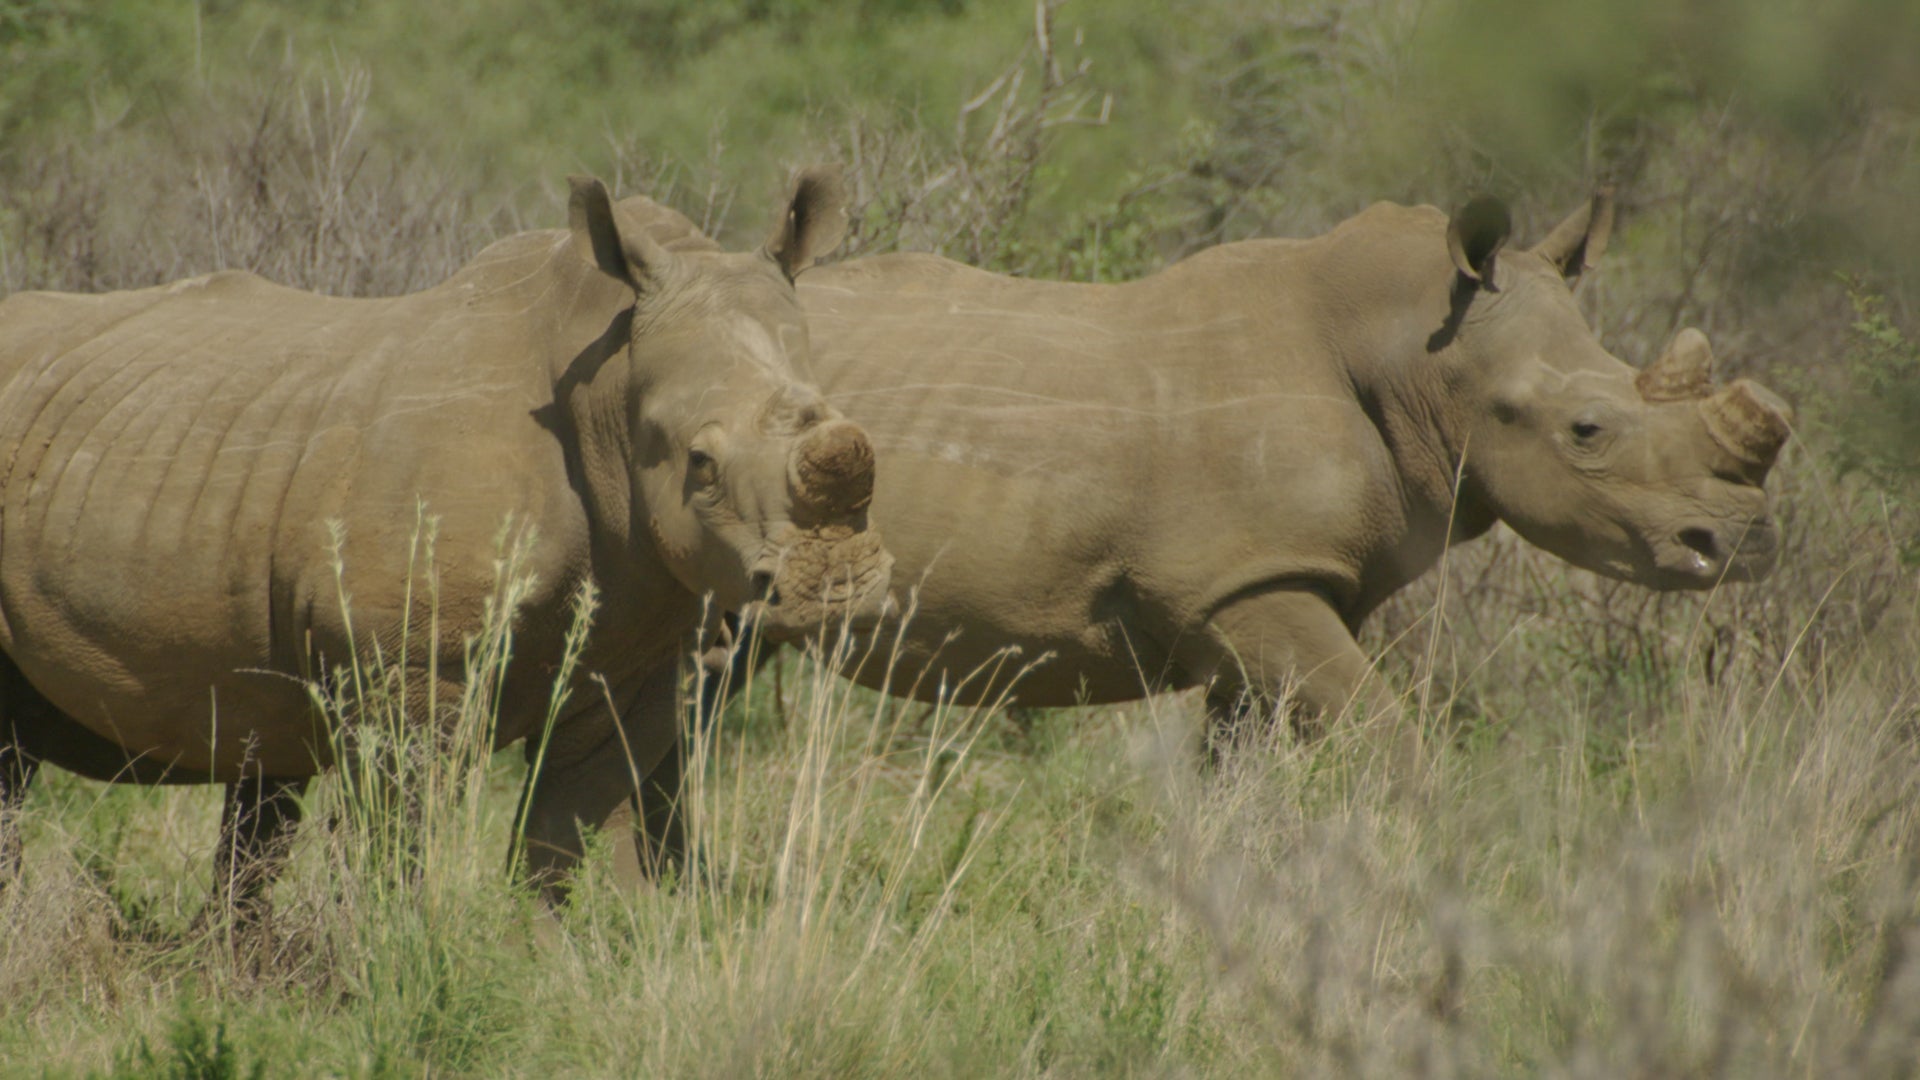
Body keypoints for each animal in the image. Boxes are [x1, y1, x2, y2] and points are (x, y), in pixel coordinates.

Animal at [0, 170, 892, 910]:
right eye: (700, 465)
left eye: (852, 426)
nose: (837, 584)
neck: (608, 387)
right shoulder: (412, 666)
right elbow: (401, 837)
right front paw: (390, 961)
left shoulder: (635, 662)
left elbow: (563, 833)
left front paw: (539, 964)